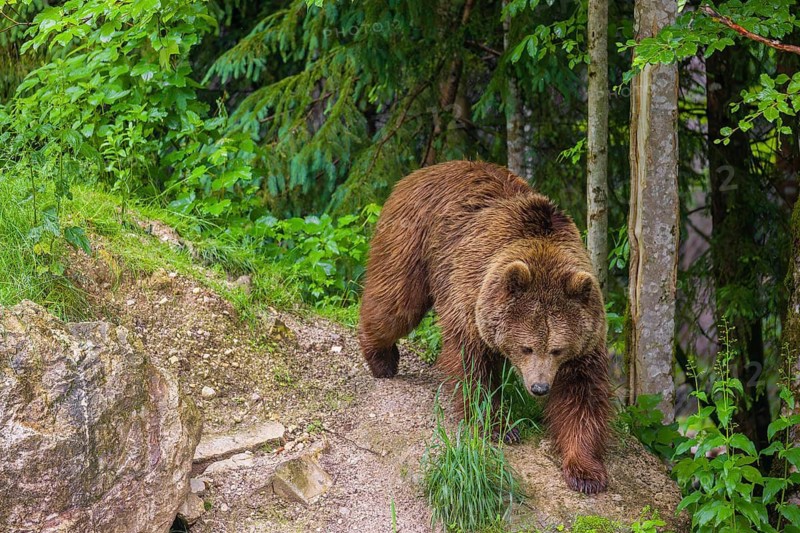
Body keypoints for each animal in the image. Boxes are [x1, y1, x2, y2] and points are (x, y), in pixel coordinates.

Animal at [358, 160, 611, 494]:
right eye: (527, 347)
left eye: (557, 349)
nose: (539, 387)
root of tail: (425, 170)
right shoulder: (472, 294)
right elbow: (472, 368)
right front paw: (500, 427)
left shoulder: (586, 341)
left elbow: (582, 396)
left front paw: (586, 473)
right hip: (413, 238)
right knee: (395, 301)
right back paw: (381, 358)